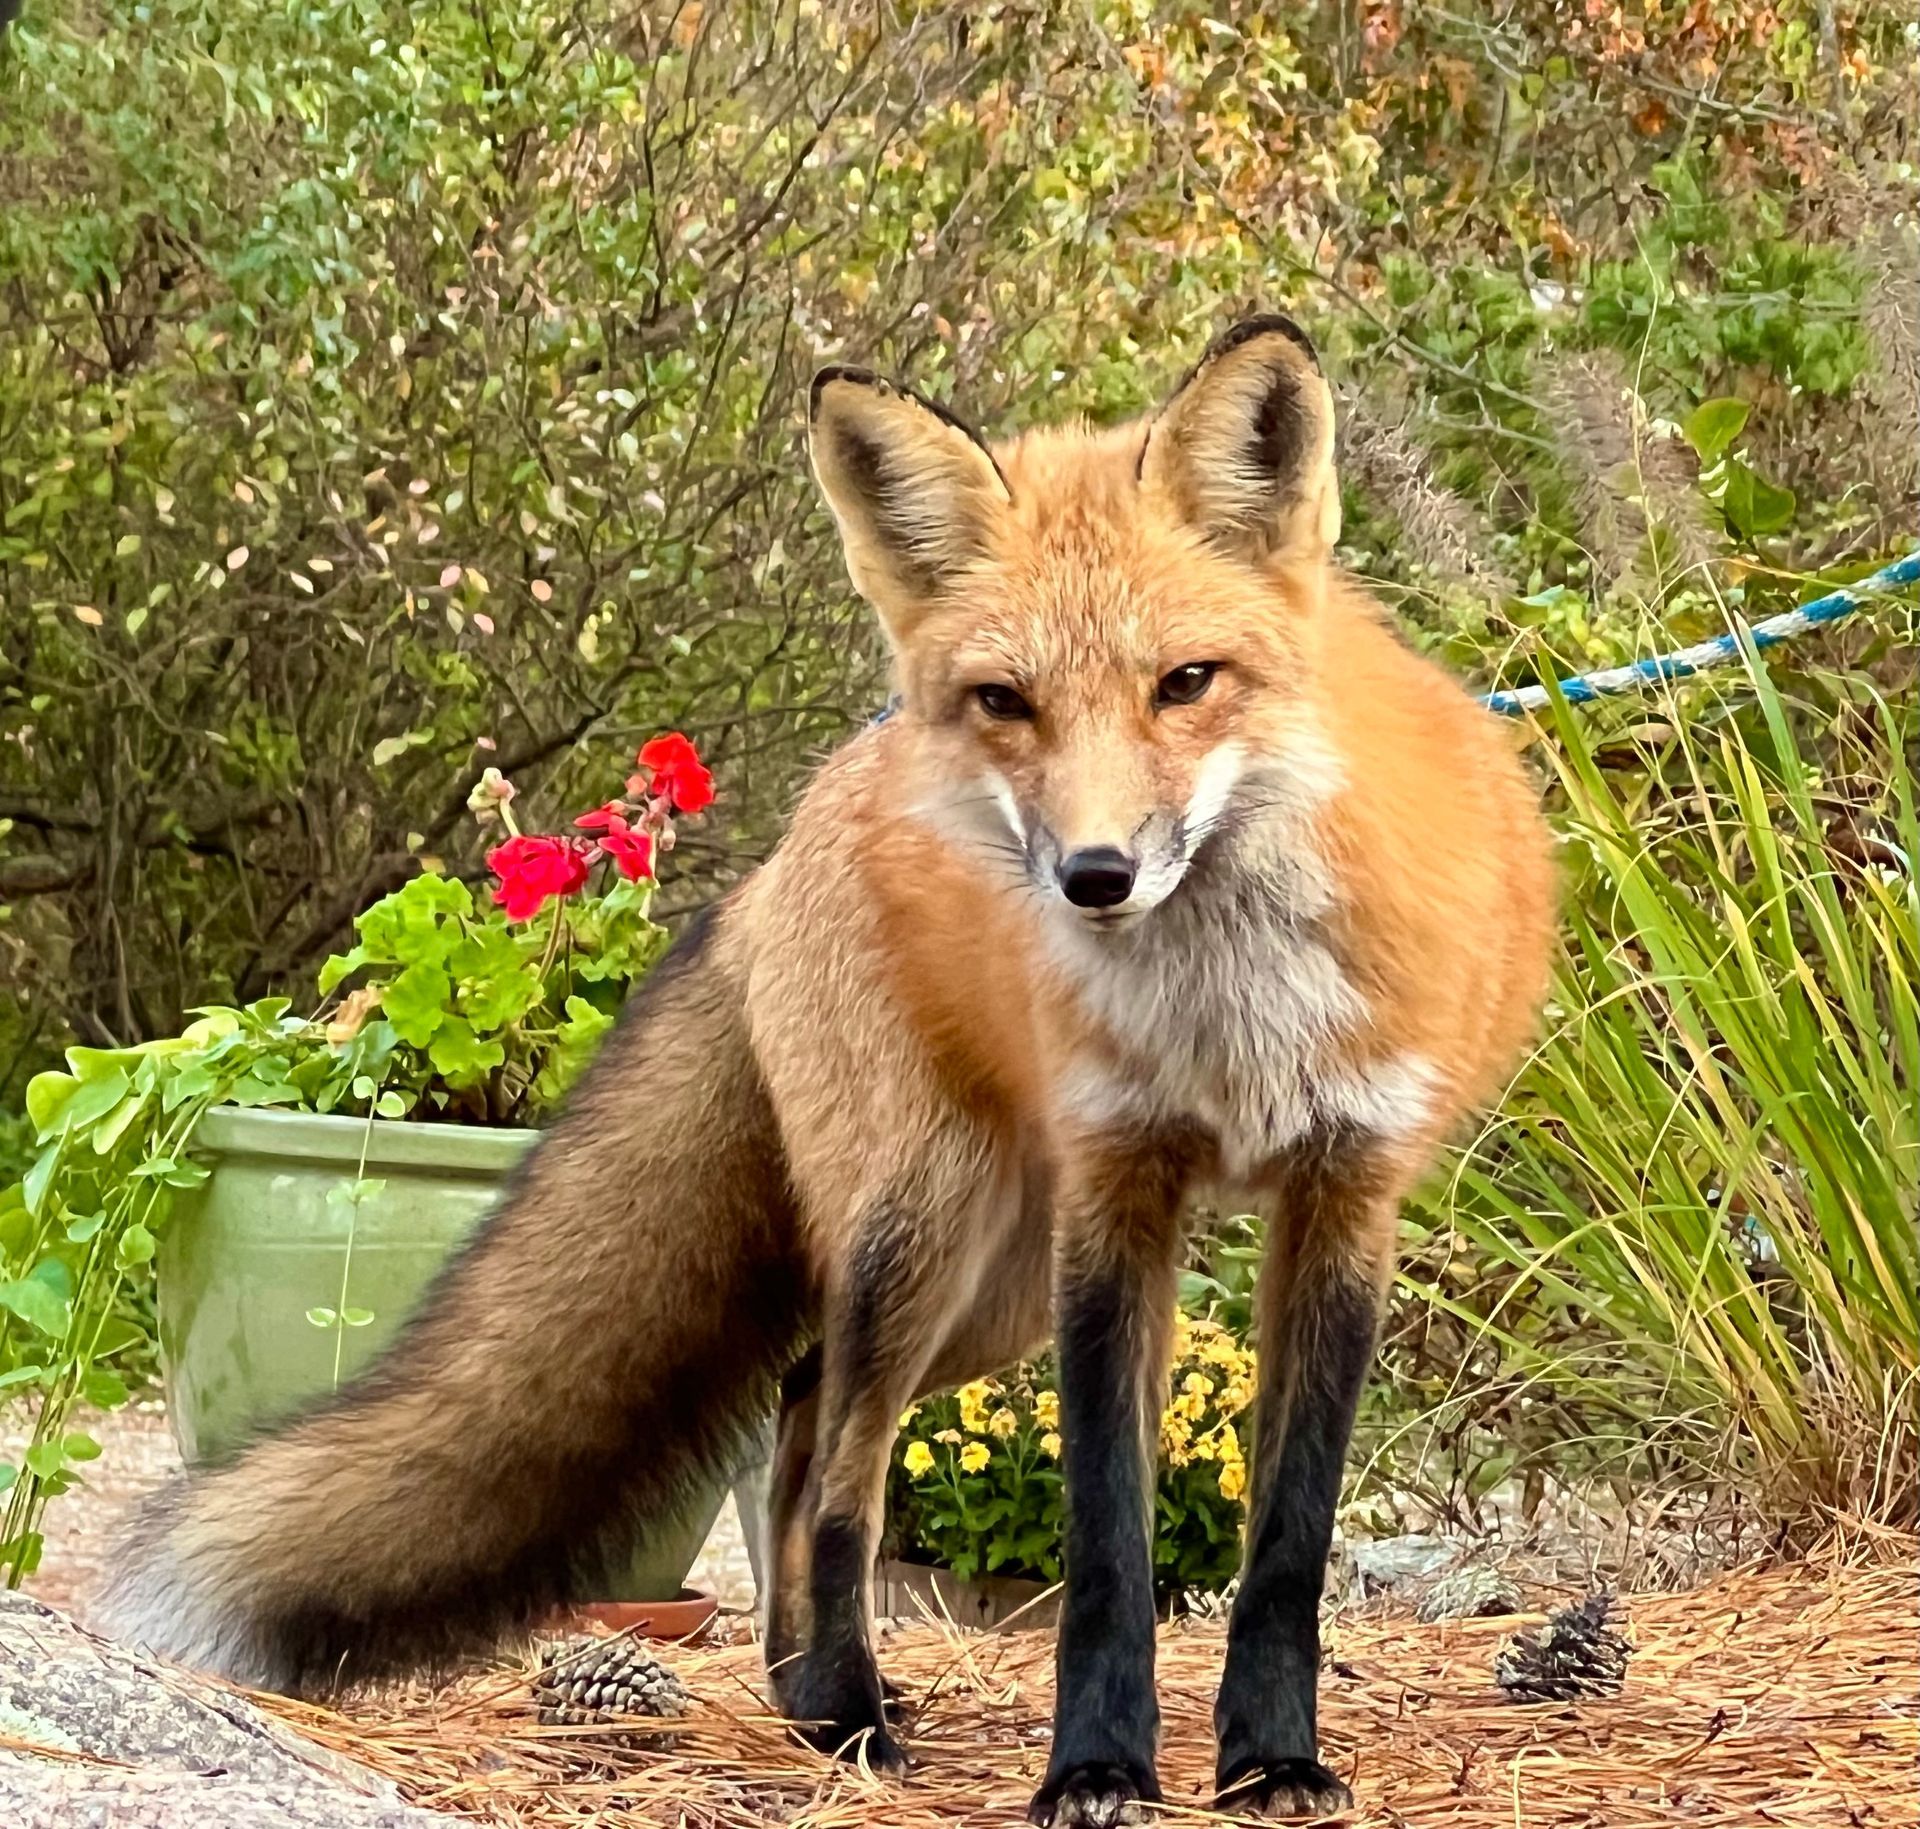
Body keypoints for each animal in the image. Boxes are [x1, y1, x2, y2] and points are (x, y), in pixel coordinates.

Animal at [101, 316, 1556, 1825]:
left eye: (1186, 683)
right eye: (1006, 701)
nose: (1095, 876)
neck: (1228, 1009)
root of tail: (800, 824)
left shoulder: (1343, 1191)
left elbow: (1286, 1542)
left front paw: (1271, 1758)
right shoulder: (1118, 1193)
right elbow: (1107, 1542)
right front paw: (1096, 1765)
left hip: (992, 1289)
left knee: (804, 1417)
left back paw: (808, 1693)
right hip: (936, 1230)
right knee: (834, 1457)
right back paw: (843, 1708)